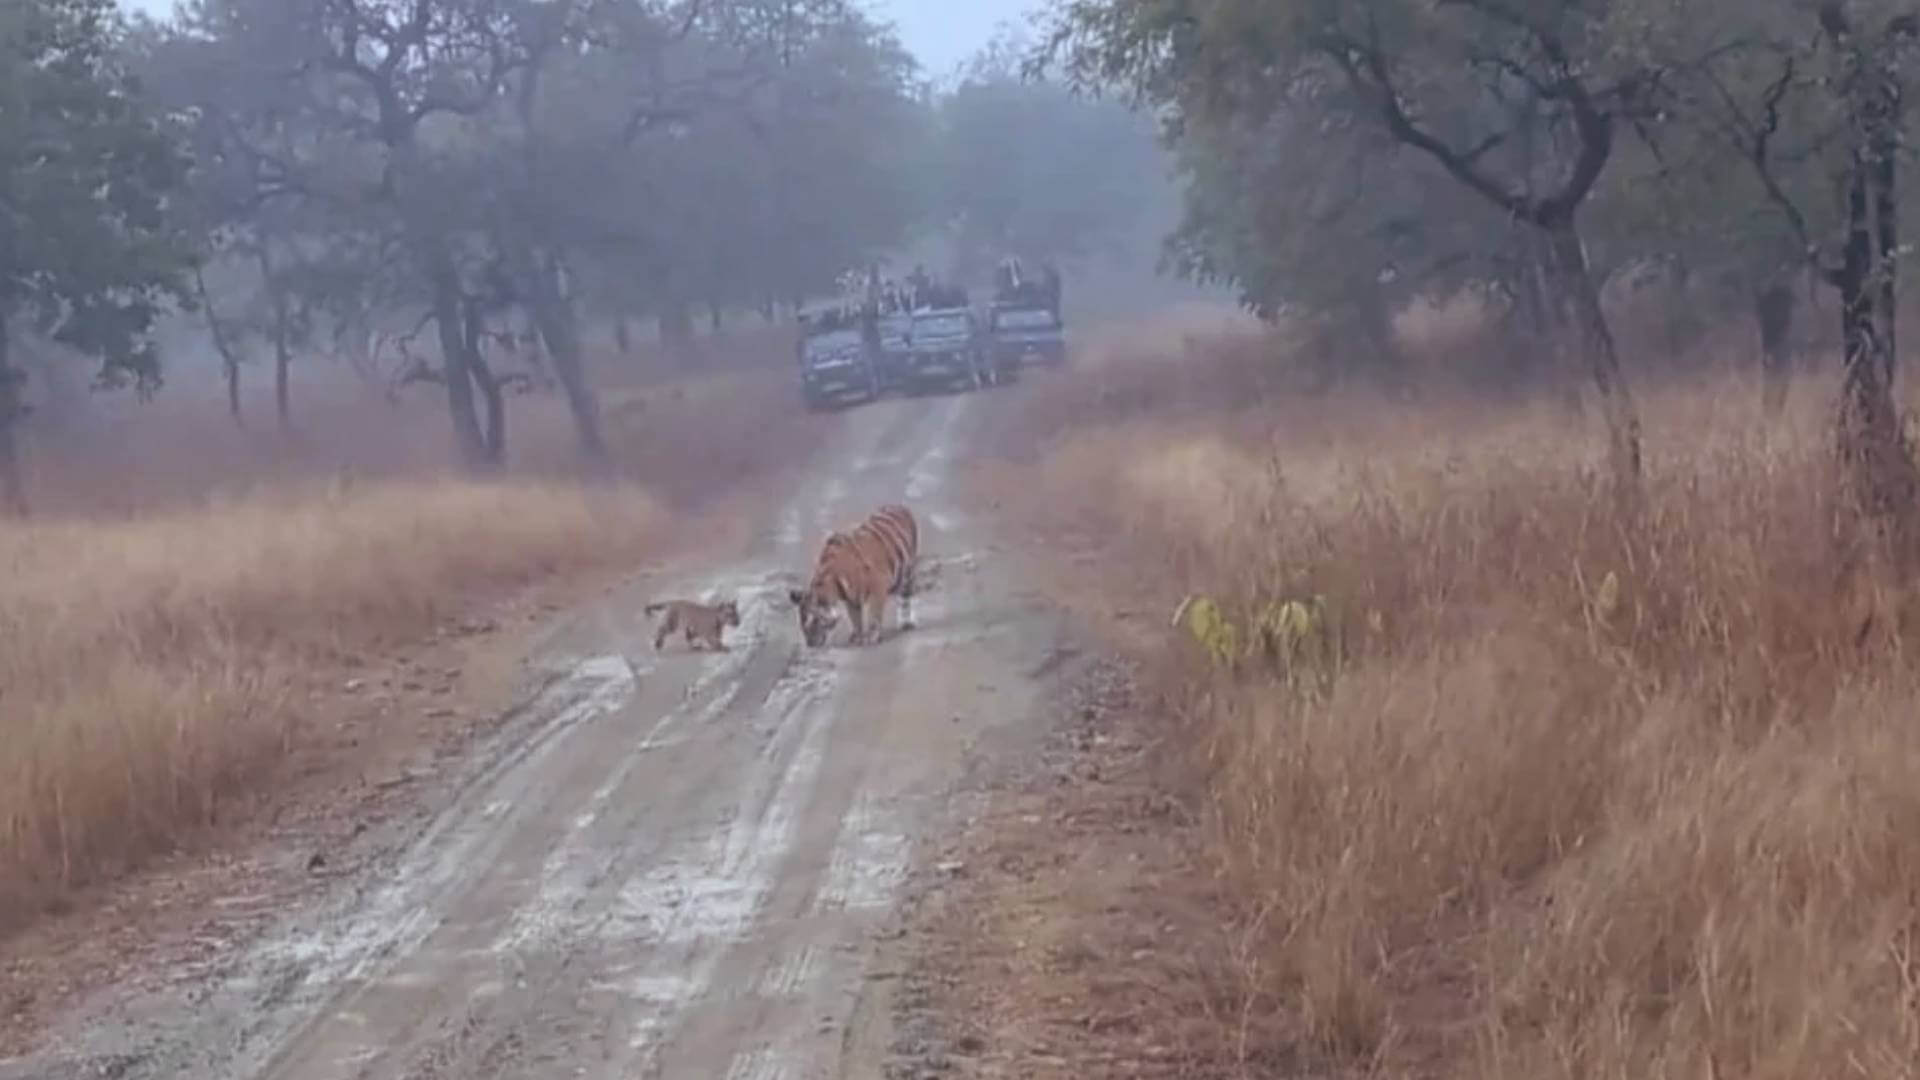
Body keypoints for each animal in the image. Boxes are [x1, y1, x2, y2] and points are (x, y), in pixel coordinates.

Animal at [787, 499, 921, 641]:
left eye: (814, 622)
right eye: (802, 626)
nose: (810, 643)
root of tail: (898, 505)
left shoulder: (878, 588)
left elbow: (874, 614)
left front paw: (872, 636)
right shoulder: (851, 597)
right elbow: (855, 617)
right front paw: (857, 636)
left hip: (907, 571)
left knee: (906, 597)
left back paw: (906, 622)